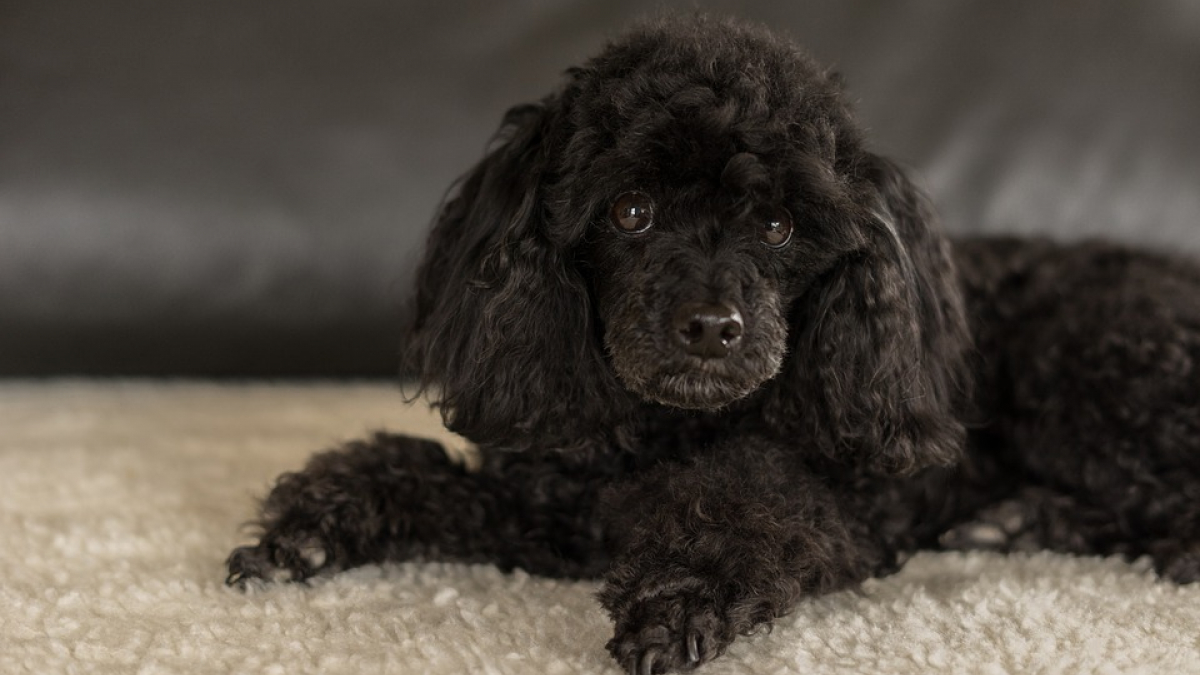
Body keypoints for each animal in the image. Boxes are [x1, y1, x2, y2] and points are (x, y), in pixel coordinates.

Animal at [226, 17, 1200, 672]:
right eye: (629, 210)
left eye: (776, 225)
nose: (710, 327)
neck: (662, 431)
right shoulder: (539, 508)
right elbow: (412, 474)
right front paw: (308, 529)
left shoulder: (828, 507)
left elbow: (736, 506)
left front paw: (674, 603)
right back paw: (1017, 521)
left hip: (1090, 370)